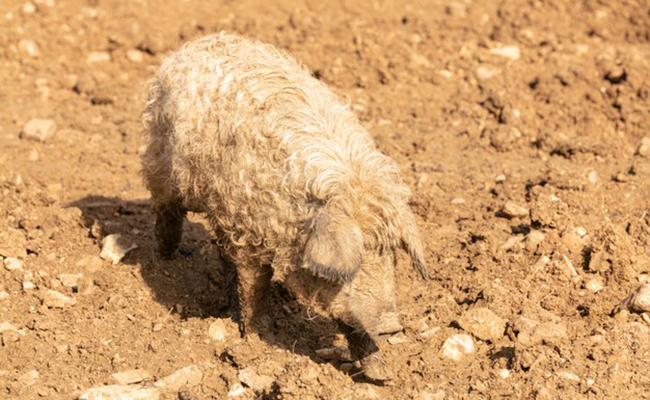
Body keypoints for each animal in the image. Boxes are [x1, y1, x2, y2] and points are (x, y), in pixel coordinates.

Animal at [139, 31, 428, 382]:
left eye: (390, 256)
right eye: (357, 260)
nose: (392, 325)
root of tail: (194, 44)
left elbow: (350, 319)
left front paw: (382, 376)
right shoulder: (247, 231)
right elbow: (255, 285)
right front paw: (258, 340)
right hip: (160, 160)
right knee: (166, 210)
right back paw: (166, 260)